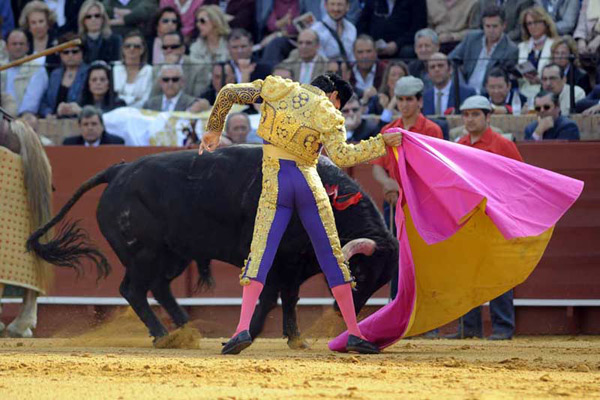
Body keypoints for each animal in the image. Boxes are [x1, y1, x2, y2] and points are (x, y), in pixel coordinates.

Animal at [30, 145, 400, 346]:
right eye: (360, 273)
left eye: (380, 281)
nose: (341, 312)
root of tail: (118, 170)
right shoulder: (277, 260)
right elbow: (271, 297)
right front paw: (249, 334)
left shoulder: (294, 264)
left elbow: (289, 298)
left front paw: (295, 338)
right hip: (144, 254)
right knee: (133, 289)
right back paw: (164, 335)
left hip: (174, 255)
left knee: (159, 287)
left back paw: (185, 330)